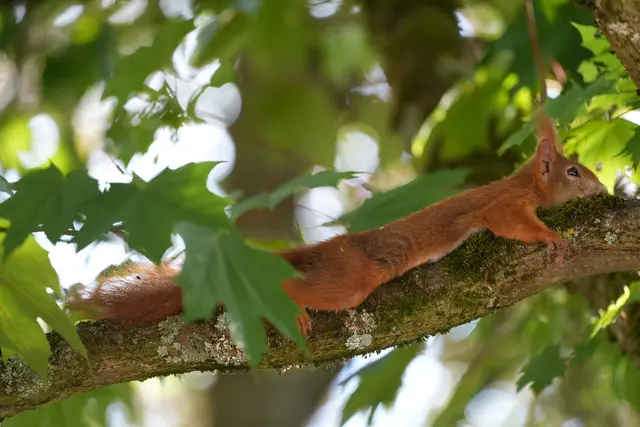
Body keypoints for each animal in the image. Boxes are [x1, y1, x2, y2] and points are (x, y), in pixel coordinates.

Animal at [66, 0, 609, 337]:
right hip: (351, 278)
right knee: (303, 289)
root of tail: (331, 247)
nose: (602, 189)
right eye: (573, 172)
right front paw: (552, 238)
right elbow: (510, 223)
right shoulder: (504, 203)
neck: (524, 182)